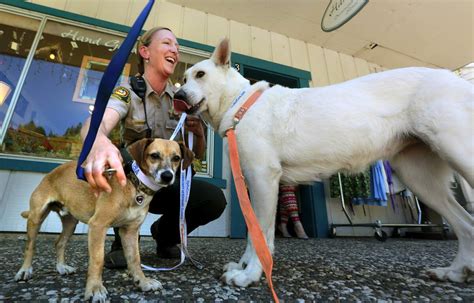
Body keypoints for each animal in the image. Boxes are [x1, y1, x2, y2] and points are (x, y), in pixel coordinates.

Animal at [15, 140, 193, 303]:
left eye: (176, 158)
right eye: (154, 155)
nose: (167, 176)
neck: (134, 185)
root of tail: (51, 172)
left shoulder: (130, 231)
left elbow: (135, 259)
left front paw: (142, 282)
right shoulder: (98, 226)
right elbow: (97, 260)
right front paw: (94, 289)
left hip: (70, 223)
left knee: (59, 243)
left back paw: (61, 267)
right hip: (36, 217)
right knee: (30, 246)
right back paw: (25, 271)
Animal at [174, 38, 474, 288]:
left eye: (200, 75)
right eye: (184, 77)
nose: (177, 96)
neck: (241, 105)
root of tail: (456, 79)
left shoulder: (263, 178)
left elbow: (262, 233)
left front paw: (250, 275)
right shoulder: (252, 183)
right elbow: (253, 234)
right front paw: (244, 265)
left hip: (458, 154)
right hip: (419, 179)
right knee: (466, 225)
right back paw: (454, 272)